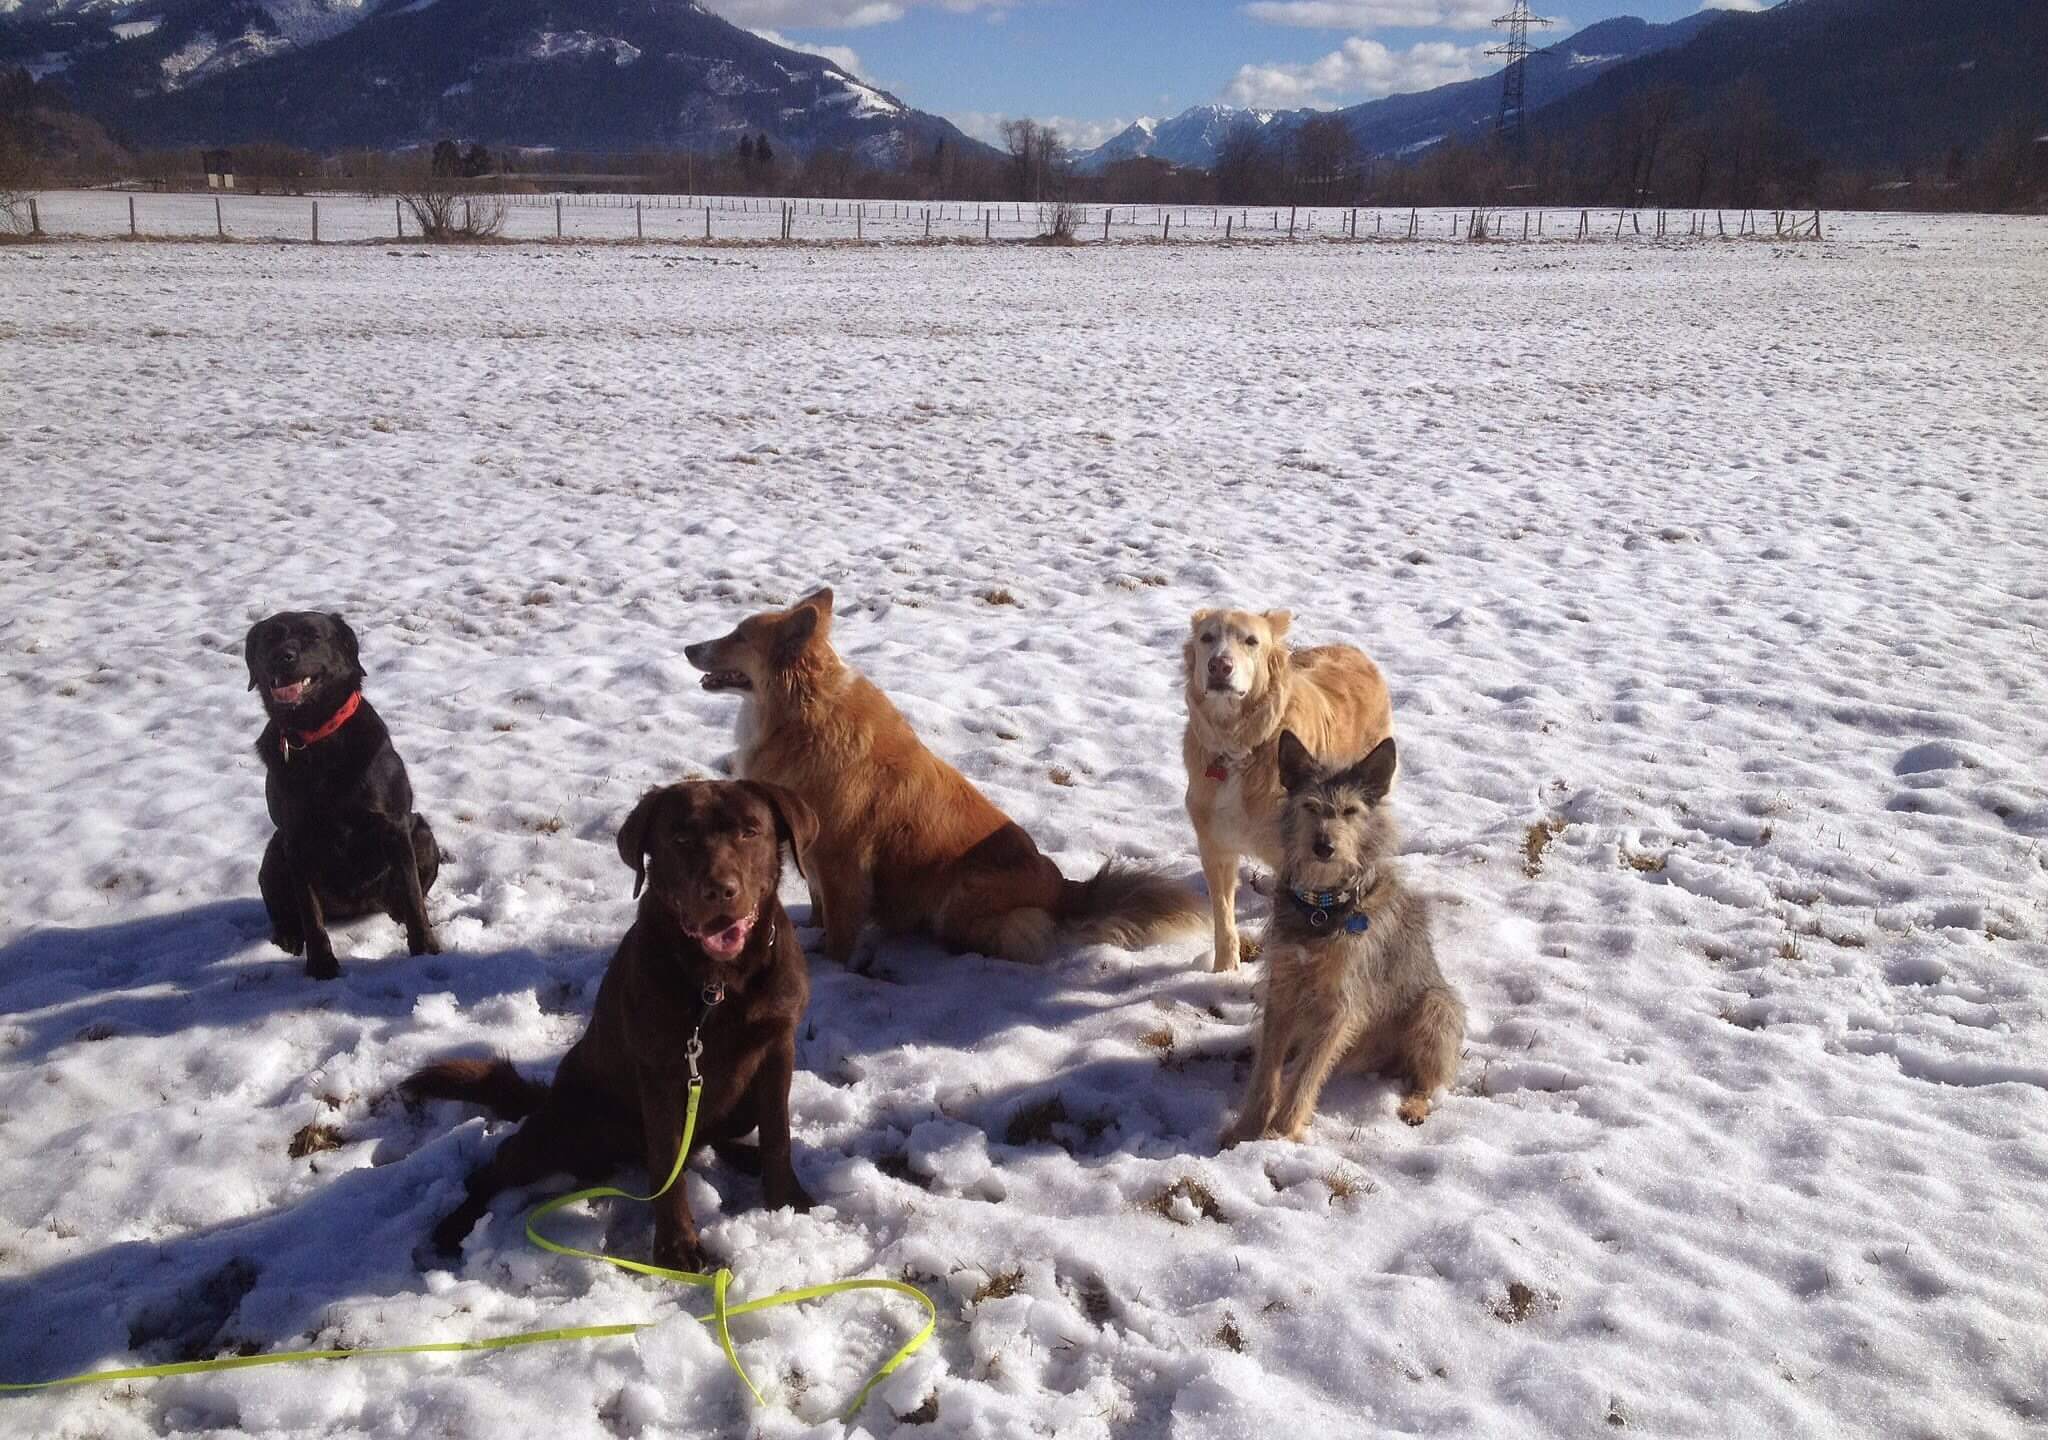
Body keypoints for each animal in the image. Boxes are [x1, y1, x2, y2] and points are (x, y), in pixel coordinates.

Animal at [246, 611, 441, 979]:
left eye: (313, 635)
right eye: (270, 638)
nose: (282, 656)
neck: (316, 738)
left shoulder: (394, 826)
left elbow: (412, 894)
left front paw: (426, 949)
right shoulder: (295, 840)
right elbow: (310, 913)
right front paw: (322, 966)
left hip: (422, 832)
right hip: (274, 853)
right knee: (286, 912)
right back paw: (287, 937)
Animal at [406, 781, 818, 1271]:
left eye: (750, 831)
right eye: (680, 838)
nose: (719, 891)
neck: (717, 984)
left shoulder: (777, 1046)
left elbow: (778, 1133)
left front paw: (787, 1199)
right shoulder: (661, 1070)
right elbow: (668, 1162)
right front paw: (676, 1247)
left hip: (735, 1107)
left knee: (712, 1137)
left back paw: (744, 1156)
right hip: (563, 1124)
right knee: (497, 1166)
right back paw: (453, 1226)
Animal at [684, 587, 1204, 968]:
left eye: (739, 636)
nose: (687, 646)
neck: (802, 714)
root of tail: (1064, 889)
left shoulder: (841, 862)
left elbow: (840, 929)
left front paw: (829, 964)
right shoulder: (813, 858)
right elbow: (817, 905)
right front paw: (808, 931)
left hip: (960, 897)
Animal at [1182, 607, 1392, 973]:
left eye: (1251, 641)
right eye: (1207, 638)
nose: (1220, 666)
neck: (1239, 748)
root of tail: (1353, 651)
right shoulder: (1215, 846)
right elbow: (1223, 918)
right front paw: (1225, 971)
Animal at [1222, 731, 1463, 1146]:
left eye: (1350, 811)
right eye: (1309, 806)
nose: (1324, 847)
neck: (1322, 907)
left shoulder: (1340, 1006)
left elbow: (1306, 1077)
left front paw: (1280, 1135)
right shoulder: (1282, 989)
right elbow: (1267, 1071)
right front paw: (1247, 1130)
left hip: (1437, 1008)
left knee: (1428, 1080)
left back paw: (1414, 1106)